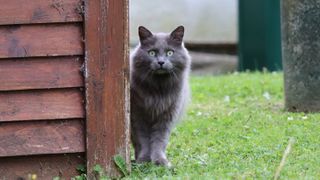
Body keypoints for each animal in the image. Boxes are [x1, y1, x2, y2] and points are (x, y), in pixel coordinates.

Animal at [129, 25, 190, 166]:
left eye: (170, 53)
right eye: (152, 53)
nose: (161, 62)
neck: (158, 88)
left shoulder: (167, 116)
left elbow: (159, 140)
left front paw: (160, 161)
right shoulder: (137, 116)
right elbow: (142, 139)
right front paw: (143, 160)